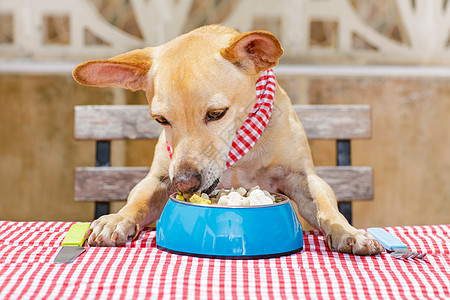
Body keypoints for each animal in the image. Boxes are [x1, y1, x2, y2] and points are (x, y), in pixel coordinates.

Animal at [74, 26, 384, 255]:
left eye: (216, 114)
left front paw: (349, 232)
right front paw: (116, 218)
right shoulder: (159, 179)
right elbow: (137, 202)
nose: (184, 183)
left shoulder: (303, 178)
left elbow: (327, 209)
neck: (239, 150)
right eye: (161, 120)